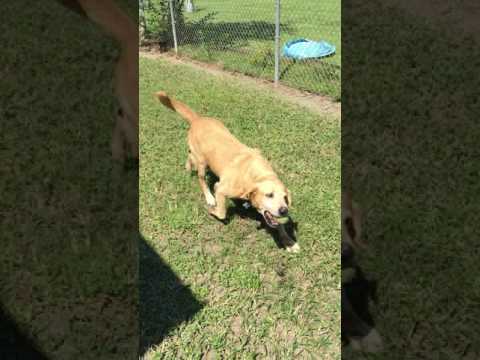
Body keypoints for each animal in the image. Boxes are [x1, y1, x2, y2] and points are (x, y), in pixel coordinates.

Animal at [156, 91, 298, 252]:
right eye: (269, 195)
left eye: (285, 198)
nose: (284, 210)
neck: (255, 174)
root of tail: (198, 119)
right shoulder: (221, 189)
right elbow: (222, 213)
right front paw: (213, 210)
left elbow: (278, 224)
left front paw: (289, 242)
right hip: (202, 163)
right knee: (201, 179)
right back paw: (209, 197)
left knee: (189, 156)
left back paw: (188, 166)